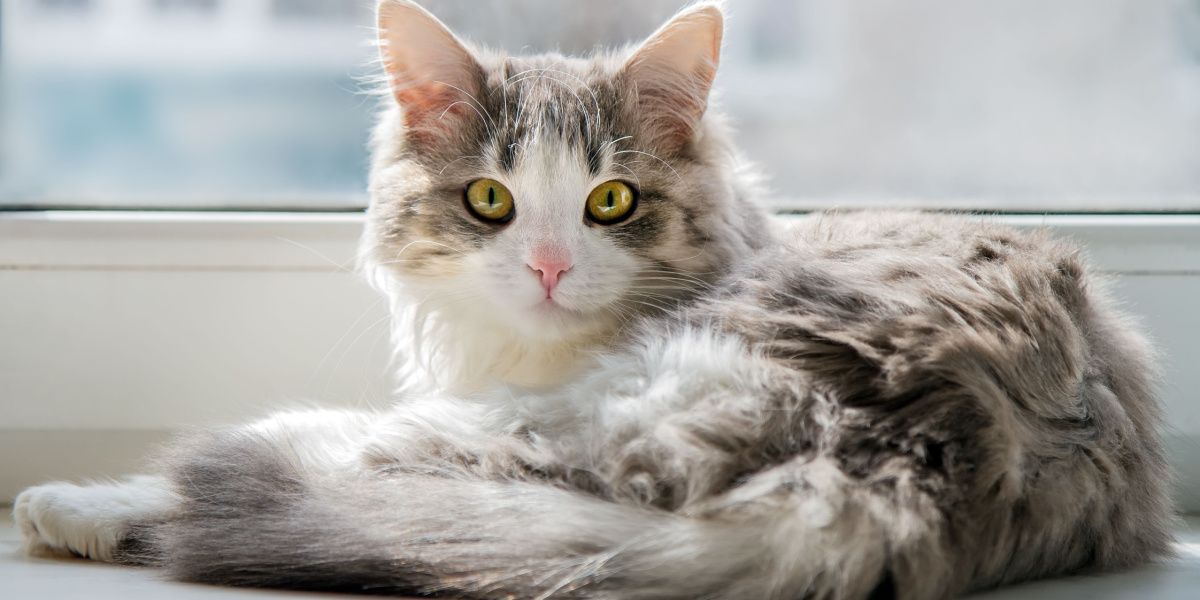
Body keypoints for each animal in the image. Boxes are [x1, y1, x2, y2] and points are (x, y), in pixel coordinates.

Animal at [11, 2, 1171, 597]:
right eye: (490, 199)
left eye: (611, 201)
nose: (549, 266)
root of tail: (926, 457)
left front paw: (82, 502)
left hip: (573, 418)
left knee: (321, 460)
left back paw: (81, 507)